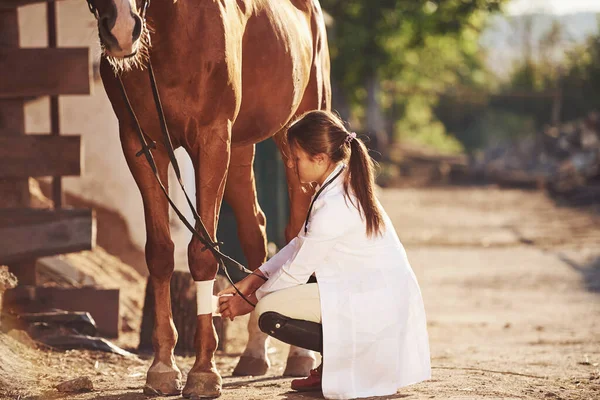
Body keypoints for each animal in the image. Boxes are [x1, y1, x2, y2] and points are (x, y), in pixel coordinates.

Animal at [88, 0, 332, 396]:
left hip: (294, 133)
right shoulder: (140, 143)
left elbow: (202, 252)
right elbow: (159, 252)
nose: (121, 29)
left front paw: (203, 371)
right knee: (254, 229)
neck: (170, 29)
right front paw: (162, 368)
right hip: (242, 146)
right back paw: (253, 353)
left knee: (297, 229)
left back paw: (300, 356)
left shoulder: (212, 139)